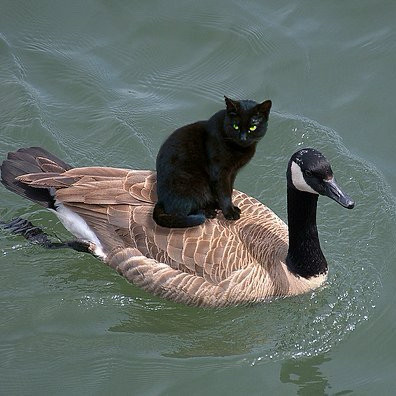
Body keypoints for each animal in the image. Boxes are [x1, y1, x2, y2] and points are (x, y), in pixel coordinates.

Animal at [154, 94, 272, 229]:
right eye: (235, 126)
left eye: (252, 127)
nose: (243, 138)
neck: (239, 149)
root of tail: (161, 200)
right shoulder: (220, 171)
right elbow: (224, 193)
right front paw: (230, 213)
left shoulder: (232, 172)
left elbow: (229, 190)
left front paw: (230, 207)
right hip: (193, 183)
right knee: (182, 211)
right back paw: (208, 212)